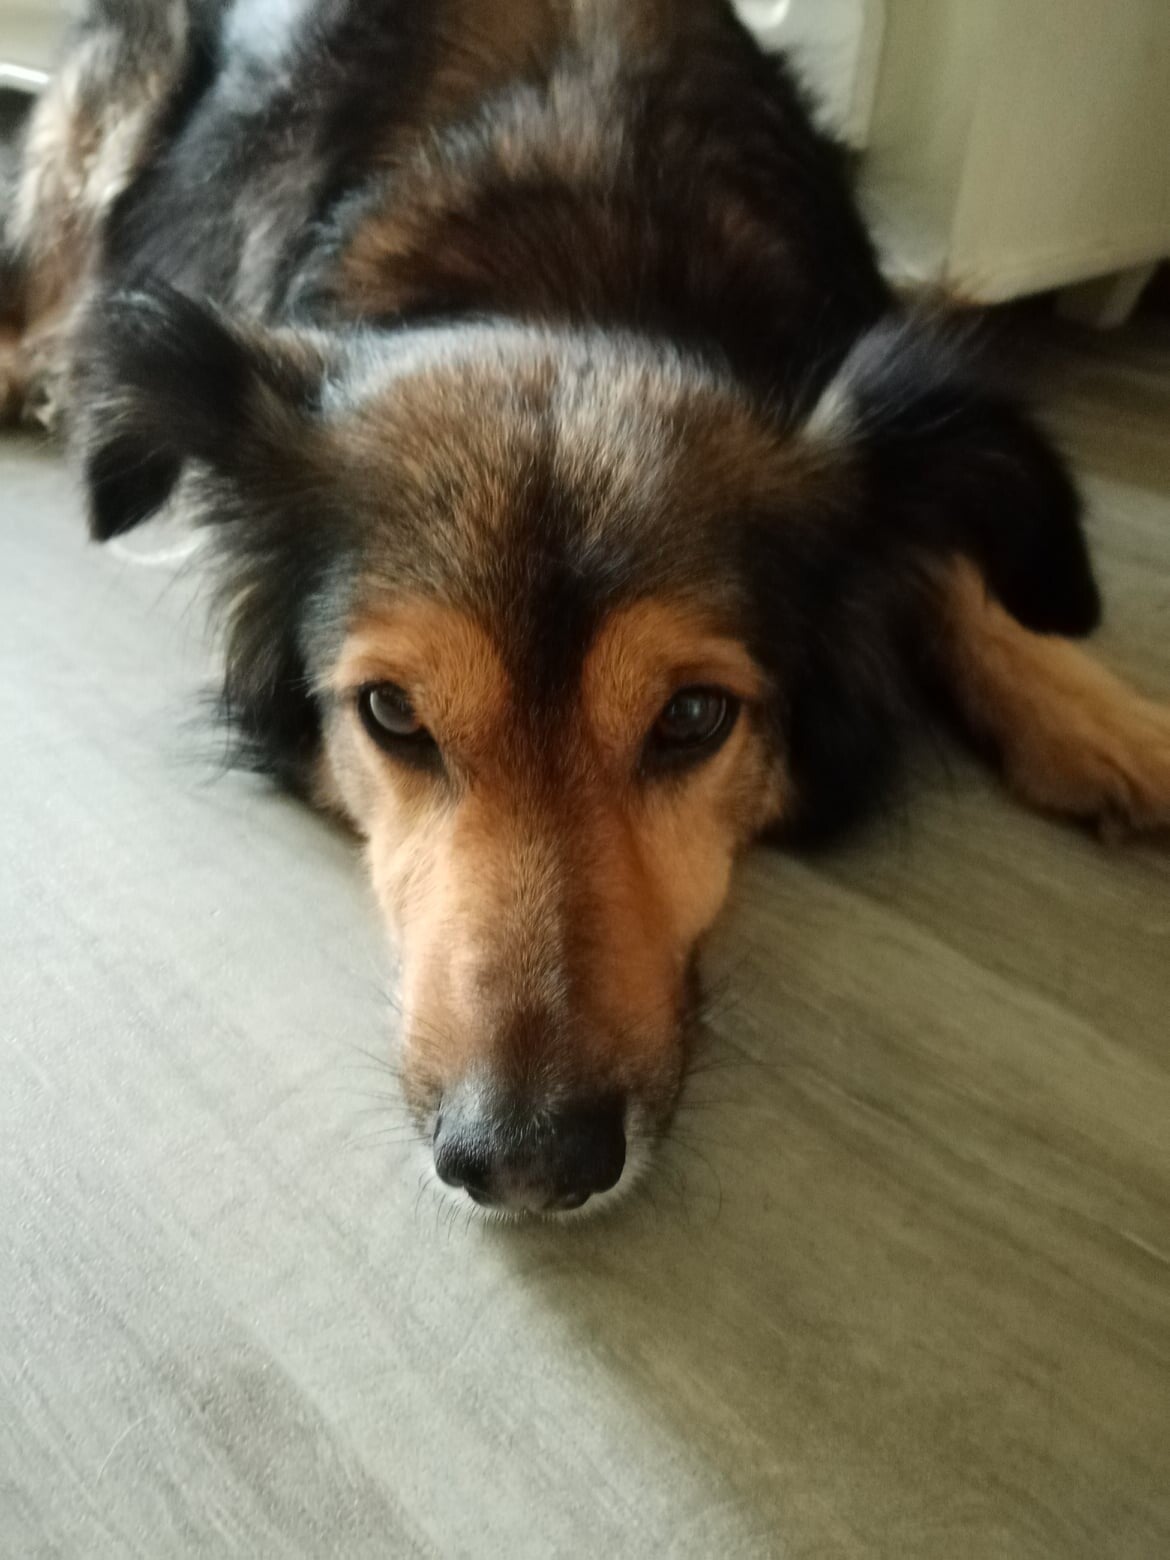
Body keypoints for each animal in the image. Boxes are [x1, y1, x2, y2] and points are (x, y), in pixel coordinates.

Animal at [4, 0, 1169, 1217]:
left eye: (694, 719)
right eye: (393, 715)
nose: (524, 1163)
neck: (571, 269)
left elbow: (946, 554)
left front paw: (1098, 713)